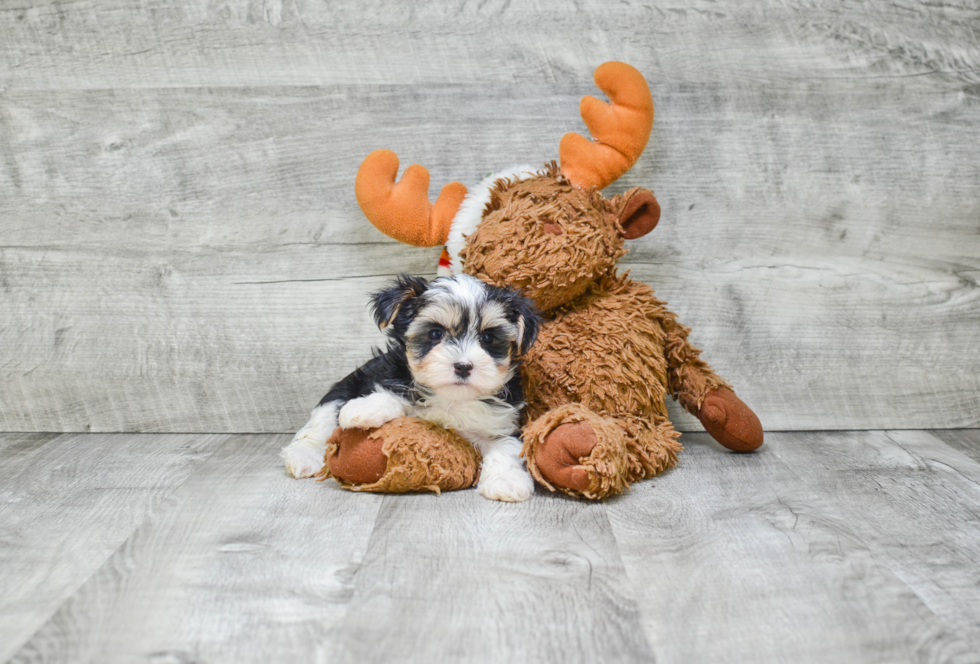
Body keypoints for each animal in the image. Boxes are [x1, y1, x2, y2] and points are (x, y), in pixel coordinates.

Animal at [282, 274, 544, 504]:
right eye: (435, 333)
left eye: (488, 338)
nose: (463, 366)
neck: (451, 398)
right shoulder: (384, 377)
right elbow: (390, 394)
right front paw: (364, 408)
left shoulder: (504, 422)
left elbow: (506, 448)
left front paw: (506, 481)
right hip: (343, 387)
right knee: (321, 422)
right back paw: (303, 456)